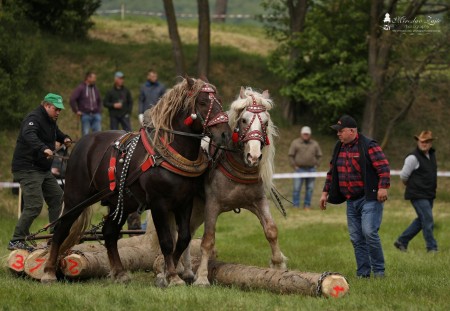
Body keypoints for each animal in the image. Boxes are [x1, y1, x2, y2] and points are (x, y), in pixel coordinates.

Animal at [41, 78, 232, 288]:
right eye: (203, 102)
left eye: (219, 100)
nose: (225, 134)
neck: (167, 153)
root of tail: (81, 143)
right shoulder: (159, 204)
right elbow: (166, 241)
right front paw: (172, 276)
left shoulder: (185, 202)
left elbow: (183, 239)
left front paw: (166, 274)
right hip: (76, 198)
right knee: (60, 230)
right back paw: (48, 271)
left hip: (122, 203)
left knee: (109, 233)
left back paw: (119, 272)